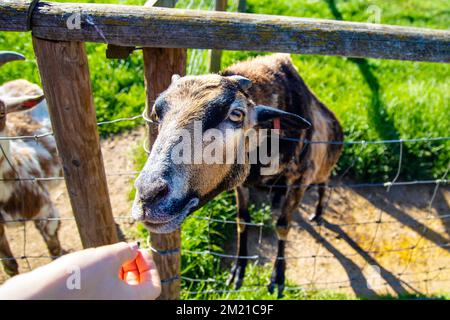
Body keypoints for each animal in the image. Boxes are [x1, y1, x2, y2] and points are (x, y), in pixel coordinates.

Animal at [132, 54, 342, 298]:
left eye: (236, 115)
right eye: (157, 114)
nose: (148, 195)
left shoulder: (300, 178)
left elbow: (282, 225)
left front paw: (278, 276)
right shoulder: (241, 183)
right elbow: (243, 220)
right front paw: (238, 269)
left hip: (321, 170)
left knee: (324, 184)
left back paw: (317, 213)